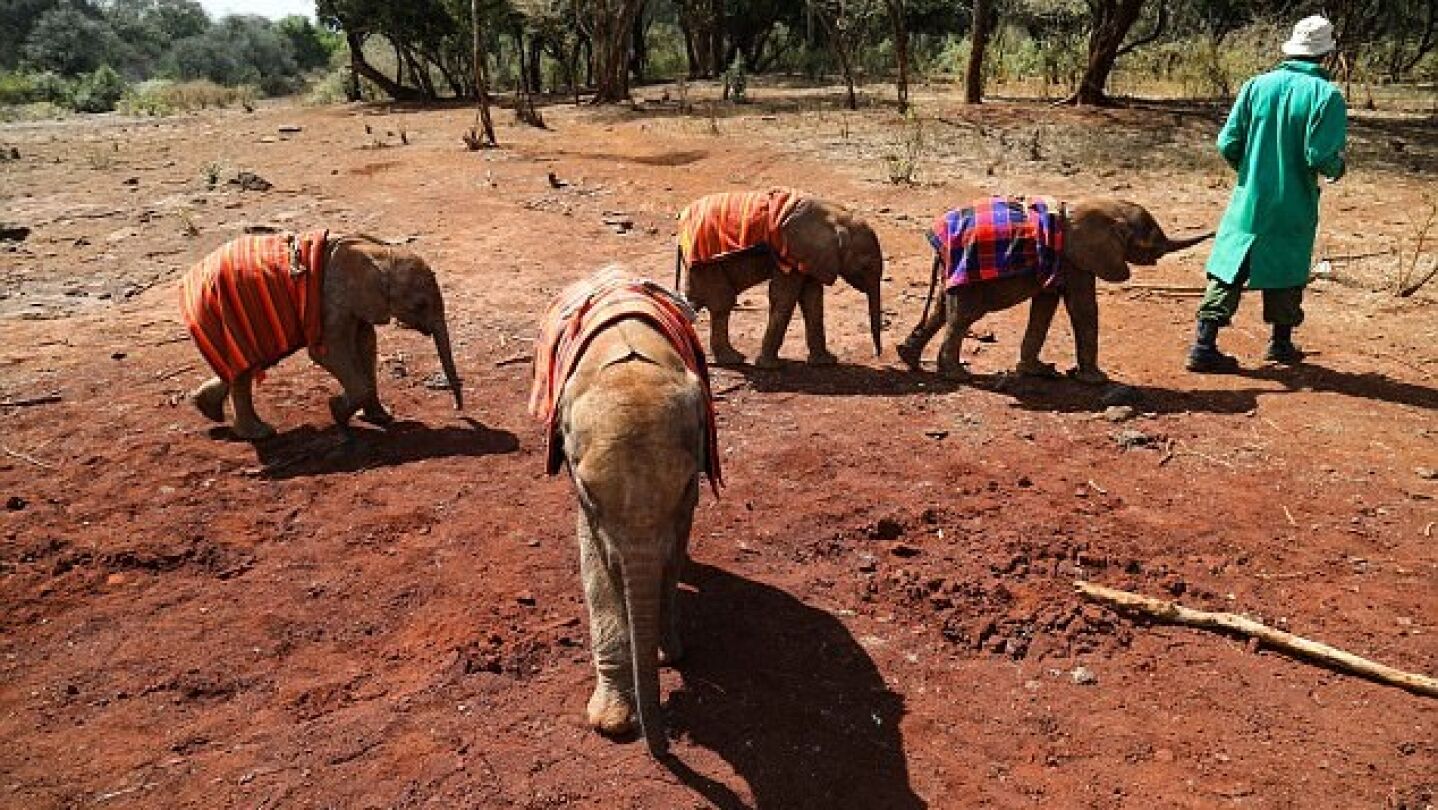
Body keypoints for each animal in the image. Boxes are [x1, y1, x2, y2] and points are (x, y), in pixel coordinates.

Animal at [183, 232, 462, 440]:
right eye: (420, 305)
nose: (458, 409)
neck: (379, 253)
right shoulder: (332, 298)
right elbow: (327, 352)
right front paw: (337, 412)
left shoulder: (357, 302)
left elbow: (366, 343)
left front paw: (380, 418)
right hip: (228, 312)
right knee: (245, 366)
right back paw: (260, 434)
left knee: (245, 365)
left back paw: (207, 408)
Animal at [676, 191, 884, 369]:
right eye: (865, 265)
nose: (878, 355)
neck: (838, 217)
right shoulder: (794, 251)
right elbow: (785, 296)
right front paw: (770, 366)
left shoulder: (813, 257)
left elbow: (812, 300)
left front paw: (826, 362)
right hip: (707, 264)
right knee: (721, 302)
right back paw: (732, 359)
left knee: (699, 301)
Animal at [896, 197, 1211, 383]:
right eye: (1153, 244)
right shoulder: (1078, 260)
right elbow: (1082, 308)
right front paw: (1096, 379)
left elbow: (1045, 305)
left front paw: (1037, 371)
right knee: (962, 316)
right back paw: (957, 375)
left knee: (942, 309)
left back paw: (908, 357)